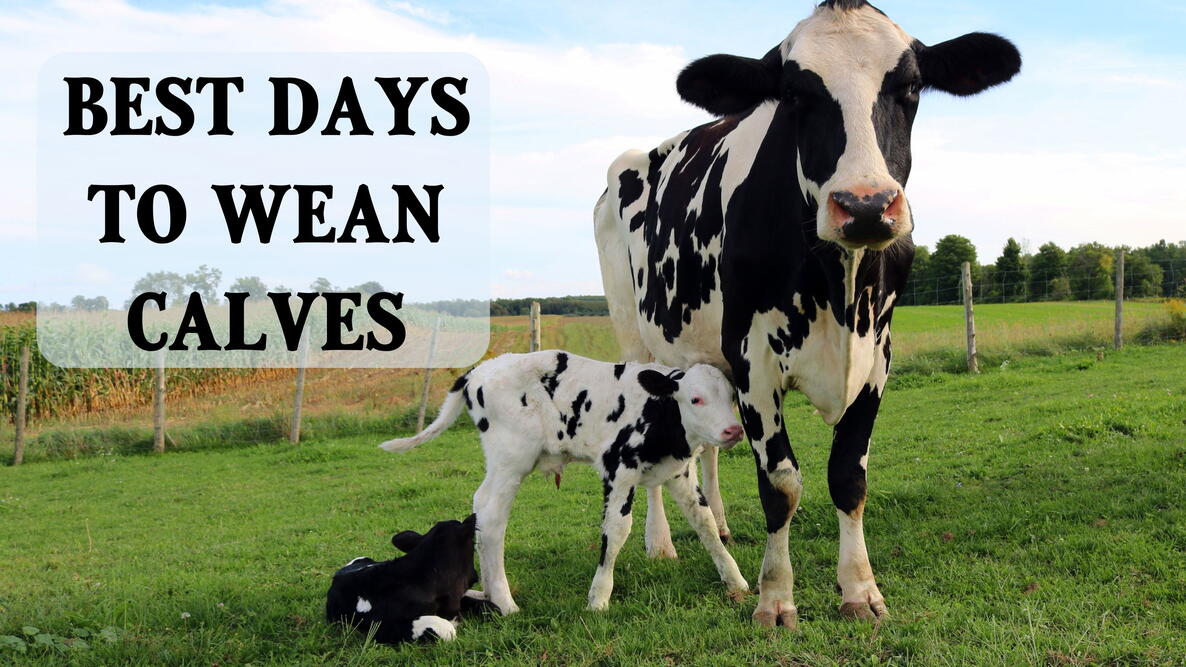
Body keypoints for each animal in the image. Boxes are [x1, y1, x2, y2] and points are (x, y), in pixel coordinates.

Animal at [379, 351, 750, 613]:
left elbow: (705, 523)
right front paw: (598, 598)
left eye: (730, 395)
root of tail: (480, 370)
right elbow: (616, 530)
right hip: (511, 458)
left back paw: (489, 593)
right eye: (696, 398)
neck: (659, 413)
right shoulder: (618, 469)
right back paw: (505, 602)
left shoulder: (679, 472)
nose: (733, 430)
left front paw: (735, 580)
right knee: (491, 515)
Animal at [593, 0, 1020, 628]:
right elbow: (781, 484)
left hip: (702, 357)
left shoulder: (877, 357)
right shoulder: (754, 361)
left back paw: (718, 522)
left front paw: (860, 590)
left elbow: (848, 476)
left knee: (708, 449)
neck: (836, 288)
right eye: (795, 94)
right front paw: (774, 597)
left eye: (911, 86)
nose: (865, 205)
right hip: (635, 335)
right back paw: (660, 542)